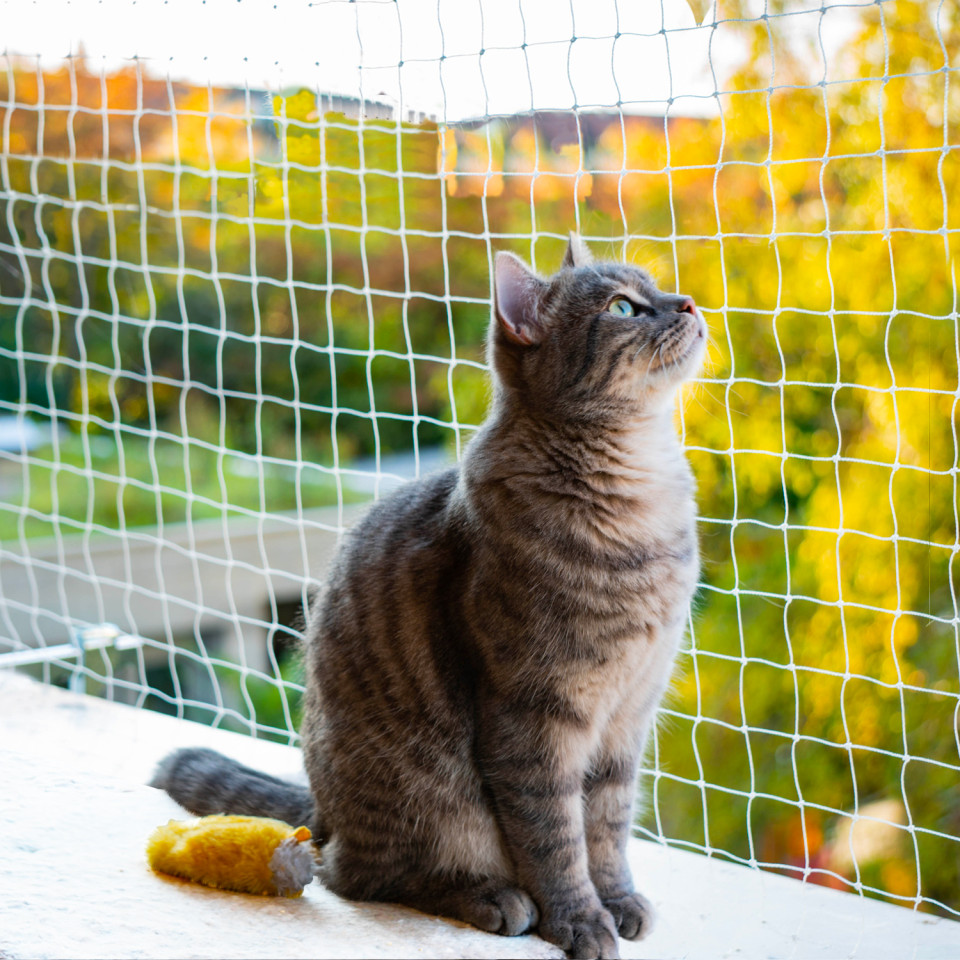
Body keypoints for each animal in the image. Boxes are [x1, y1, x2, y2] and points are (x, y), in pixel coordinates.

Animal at [152, 234, 704, 960]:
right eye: (621, 307)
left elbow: (606, 829)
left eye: (657, 287)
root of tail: (322, 810)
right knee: (357, 874)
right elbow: (556, 840)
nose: (690, 301)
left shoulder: (626, 720)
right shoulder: (535, 719)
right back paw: (491, 897)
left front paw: (616, 899)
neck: (640, 503)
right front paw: (582, 920)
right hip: (432, 798)